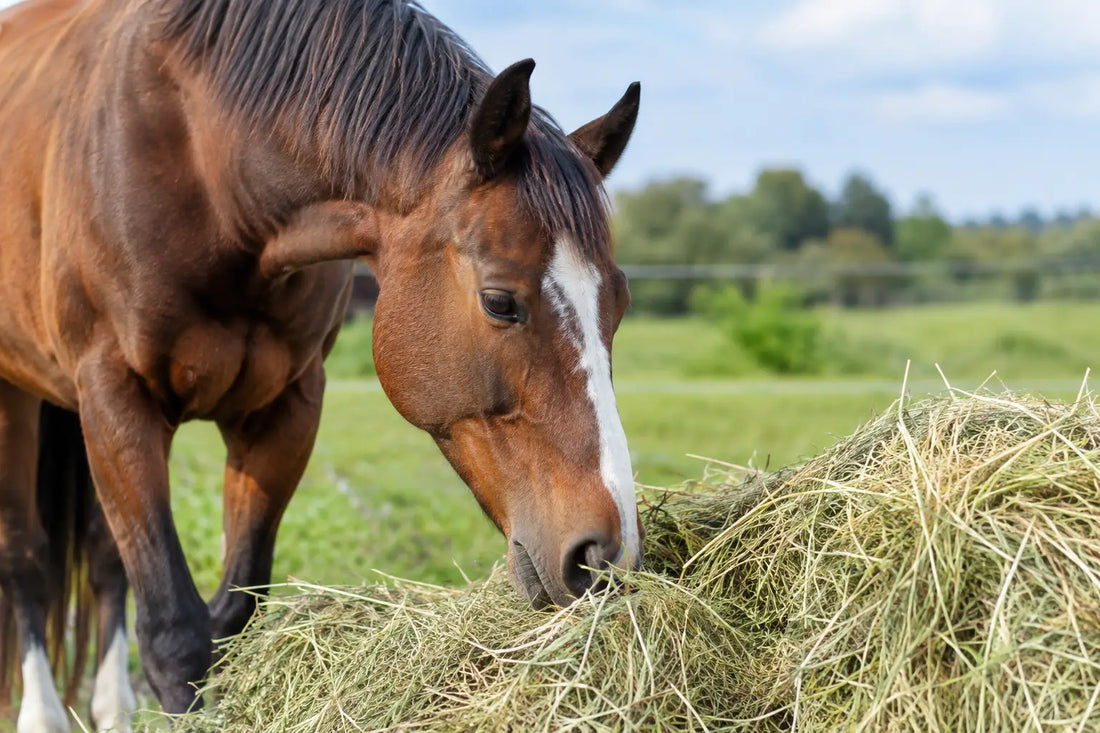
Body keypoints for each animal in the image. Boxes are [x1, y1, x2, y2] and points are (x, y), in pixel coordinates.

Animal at [0, 0, 642, 728]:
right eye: (500, 302)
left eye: (619, 302)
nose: (607, 553)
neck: (207, 165)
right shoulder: (117, 397)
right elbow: (174, 634)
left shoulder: (286, 409)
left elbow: (233, 611)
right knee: (25, 559)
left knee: (105, 561)